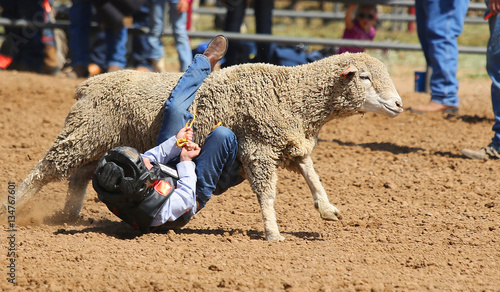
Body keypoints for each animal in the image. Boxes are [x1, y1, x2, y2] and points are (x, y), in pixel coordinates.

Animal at [4, 53, 402, 242]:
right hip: (83, 132)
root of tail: (89, 83)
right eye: (365, 77)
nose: (399, 105)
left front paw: (327, 208)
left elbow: (310, 170)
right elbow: (268, 193)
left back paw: (70, 215)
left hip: (100, 139)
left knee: (80, 175)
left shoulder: (286, 140)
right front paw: (273, 231)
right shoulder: (258, 147)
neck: (293, 95)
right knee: (46, 169)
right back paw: (18, 205)